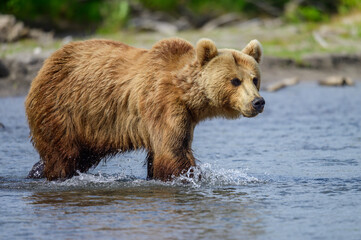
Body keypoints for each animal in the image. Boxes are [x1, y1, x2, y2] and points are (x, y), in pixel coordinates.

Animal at [24, 37, 262, 180]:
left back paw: (36, 171)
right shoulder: (162, 103)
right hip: (62, 110)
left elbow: (164, 151)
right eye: (235, 81)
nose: (258, 102)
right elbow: (172, 151)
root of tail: (44, 66)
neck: (186, 94)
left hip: (90, 131)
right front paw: (194, 177)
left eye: (255, 79)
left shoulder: (185, 116)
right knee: (63, 155)